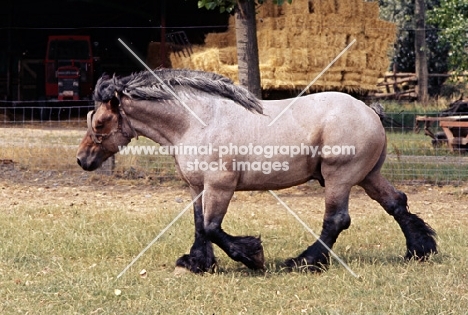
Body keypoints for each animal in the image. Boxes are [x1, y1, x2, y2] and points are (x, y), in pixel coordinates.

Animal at [75, 69, 436, 274]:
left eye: (100, 122)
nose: (82, 160)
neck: (196, 121)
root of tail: (370, 111)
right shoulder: (197, 187)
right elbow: (199, 225)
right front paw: (197, 263)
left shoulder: (220, 185)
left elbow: (212, 227)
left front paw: (252, 256)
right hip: (368, 176)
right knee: (397, 203)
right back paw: (420, 250)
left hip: (340, 178)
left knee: (336, 220)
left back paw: (304, 262)